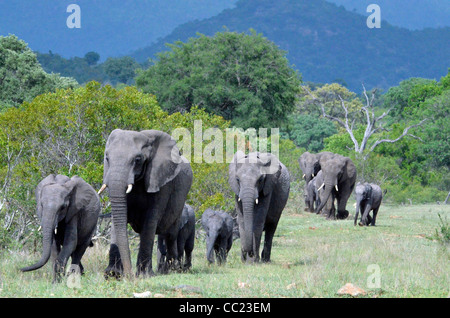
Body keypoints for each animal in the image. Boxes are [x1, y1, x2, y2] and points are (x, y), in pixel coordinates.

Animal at [99, 129, 192, 278]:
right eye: (107, 158)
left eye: (137, 160)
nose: (129, 275)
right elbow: (117, 218)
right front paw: (113, 274)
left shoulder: (161, 181)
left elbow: (150, 221)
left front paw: (143, 275)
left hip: (181, 201)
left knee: (171, 234)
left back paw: (171, 270)